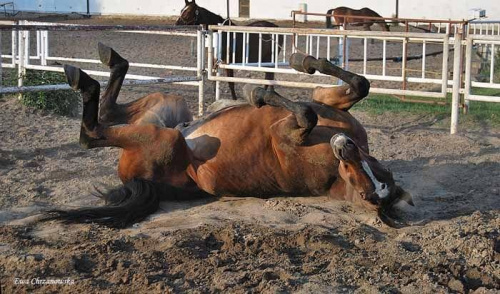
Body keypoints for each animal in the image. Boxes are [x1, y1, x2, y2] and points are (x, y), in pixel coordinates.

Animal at [45, 43, 412, 229]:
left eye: (367, 193)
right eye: (374, 173)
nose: (344, 147)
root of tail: (133, 180)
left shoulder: (288, 132)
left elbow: (304, 113)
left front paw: (258, 93)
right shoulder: (330, 103)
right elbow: (359, 84)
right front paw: (300, 61)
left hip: (163, 138)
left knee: (91, 133)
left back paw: (82, 79)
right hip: (168, 105)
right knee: (109, 114)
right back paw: (105, 60)